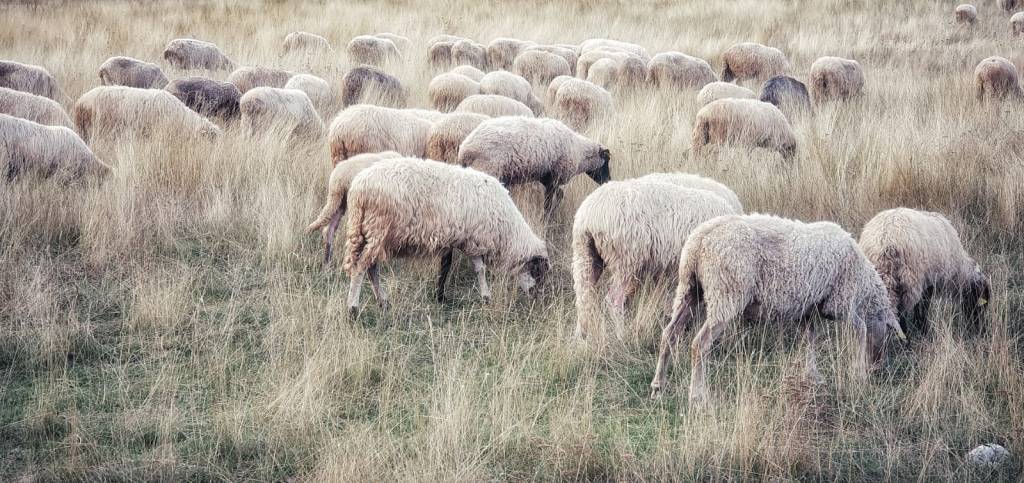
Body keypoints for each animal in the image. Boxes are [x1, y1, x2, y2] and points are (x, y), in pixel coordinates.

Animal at [341, 157, 550, 310]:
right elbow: (479, 269)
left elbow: (446, 266)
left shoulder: (456, 239)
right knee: (361, 268)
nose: (537, 299)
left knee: (371, 268)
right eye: (537, 271)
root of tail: (358, 188)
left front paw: (440, 295)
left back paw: (382, 301)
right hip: (377, 230)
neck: (506, 230)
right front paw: (485, 296)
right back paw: (353, 308)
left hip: (368, 233)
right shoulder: (472, 239)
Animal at [457, 116, 610, 213]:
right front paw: (547, 219)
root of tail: (464, 149)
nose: (608, 180)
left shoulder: (547, 178)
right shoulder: (554, 178)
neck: (580, 153)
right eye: (606, 162)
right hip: (487, 169)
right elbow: (549, 203)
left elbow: (560, 194)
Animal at [572, 173, 742, 339]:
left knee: (583, 296)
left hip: (586, 256)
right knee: (614, 300)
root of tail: (589, 216)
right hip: (626, 260)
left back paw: (580, 336)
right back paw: (621, 335)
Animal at [649, 214, 906, 402]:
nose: (877, 369)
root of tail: (699, 241)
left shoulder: (808, 309)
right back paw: (697, 395)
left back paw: (658, 385)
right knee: (699, 344)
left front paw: (812, 376)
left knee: (669, 334)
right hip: (726, 293)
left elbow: (809, 339)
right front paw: (859, 374)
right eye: (887, 334)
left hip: (689, 290)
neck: (863, 283)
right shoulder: (841, 302)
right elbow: (861, 330)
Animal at [859, 208, 990, 336]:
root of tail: (885, 242)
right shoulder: (930, 280)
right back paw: (905, 339)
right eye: (981, 302)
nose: (982, 331)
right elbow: (923, 306)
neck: (958, 269)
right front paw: (924, 329)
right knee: (901, 313)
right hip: (909, 281)